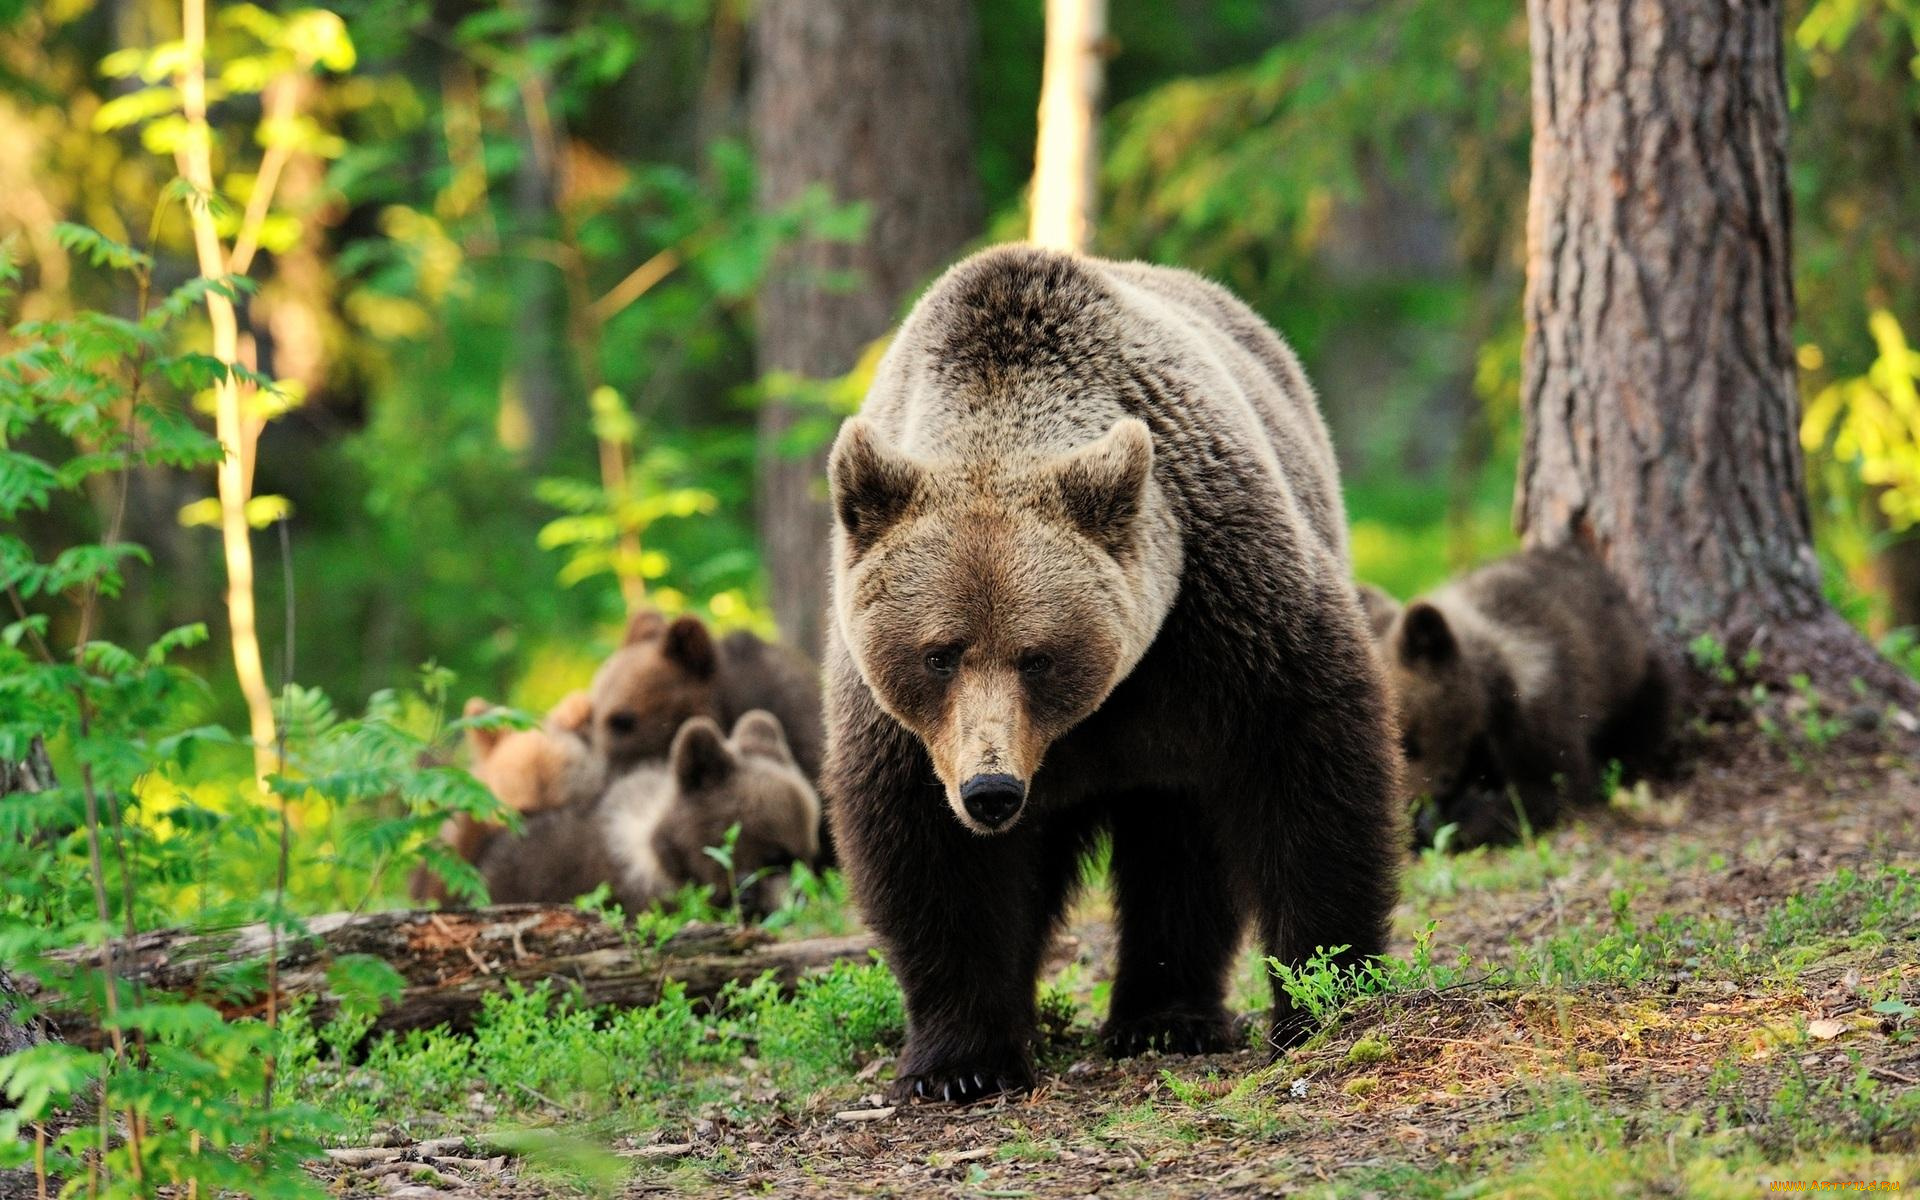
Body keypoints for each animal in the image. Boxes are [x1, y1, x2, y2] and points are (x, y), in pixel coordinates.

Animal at [821, 245, 1397, 1105]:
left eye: (1037, 655)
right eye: (939, 652)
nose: (992, 791)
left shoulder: (1221, 612)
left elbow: (1308, 769)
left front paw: (1323, 995)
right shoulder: (902, 723)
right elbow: (930, 855)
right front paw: (960, 1062)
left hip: (1180, 740)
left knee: (1180, 850)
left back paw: (1165, 1018)